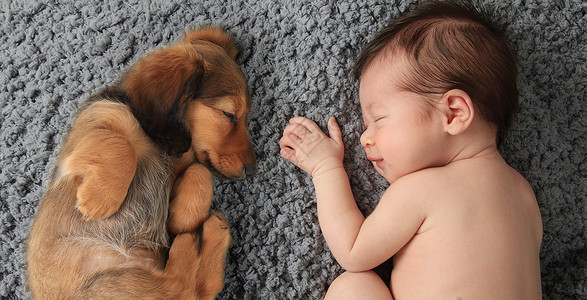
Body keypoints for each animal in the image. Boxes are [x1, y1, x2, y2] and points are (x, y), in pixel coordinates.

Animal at [27, 27, 258, 298]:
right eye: (228, 114)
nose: (252, 170)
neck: (158, 143)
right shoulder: (94, 124)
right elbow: (121, 144)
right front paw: (98, 200)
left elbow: (200, 170)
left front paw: (182, 218)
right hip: (111, 283)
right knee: (181, 287)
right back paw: (192, 242)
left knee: (192, 288)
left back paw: (208, 233)